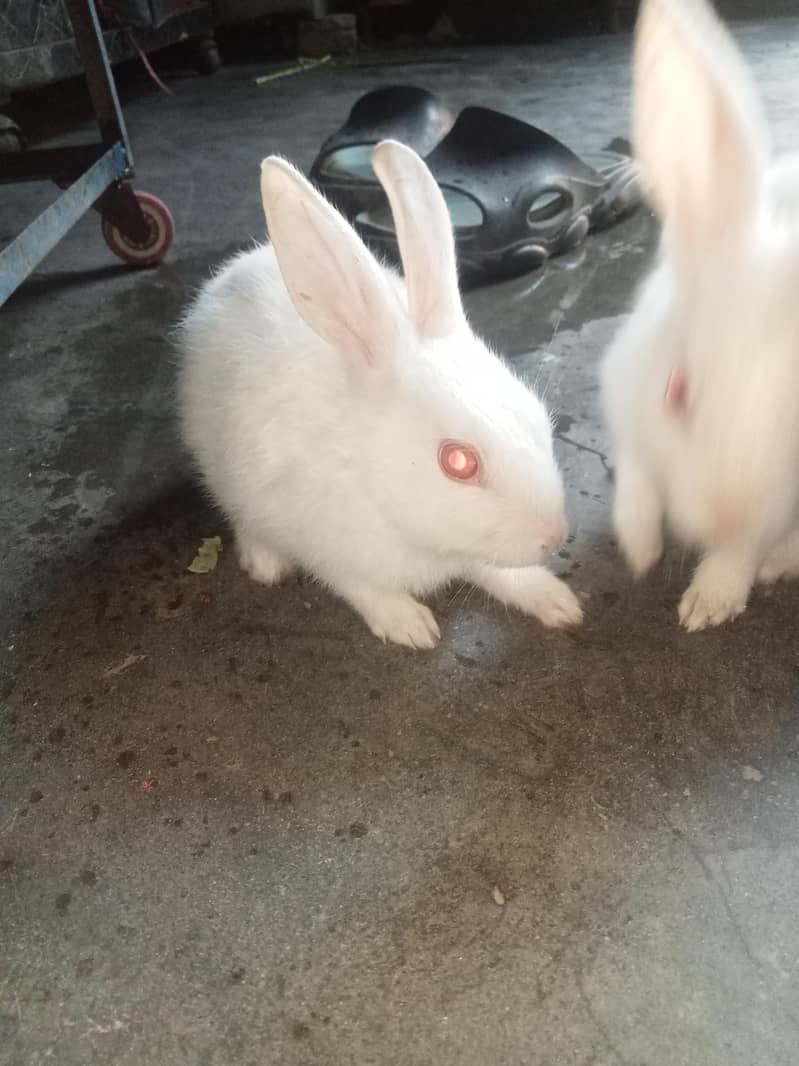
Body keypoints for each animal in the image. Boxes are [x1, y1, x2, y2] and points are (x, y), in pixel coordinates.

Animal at [176, 139, 582, 649]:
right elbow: (362, 588)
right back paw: (265, 562)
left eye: (539, 417)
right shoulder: (328, 547)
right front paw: (411, 627)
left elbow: (500, 572)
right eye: (459, 462)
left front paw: (558, 602)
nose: (555, 535)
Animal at [601, 0, 799, 631]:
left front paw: (708, 605)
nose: (723, 515)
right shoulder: (625, 397)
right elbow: (637, 475)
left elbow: (743, 554)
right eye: (675, 390)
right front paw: (640, 549)